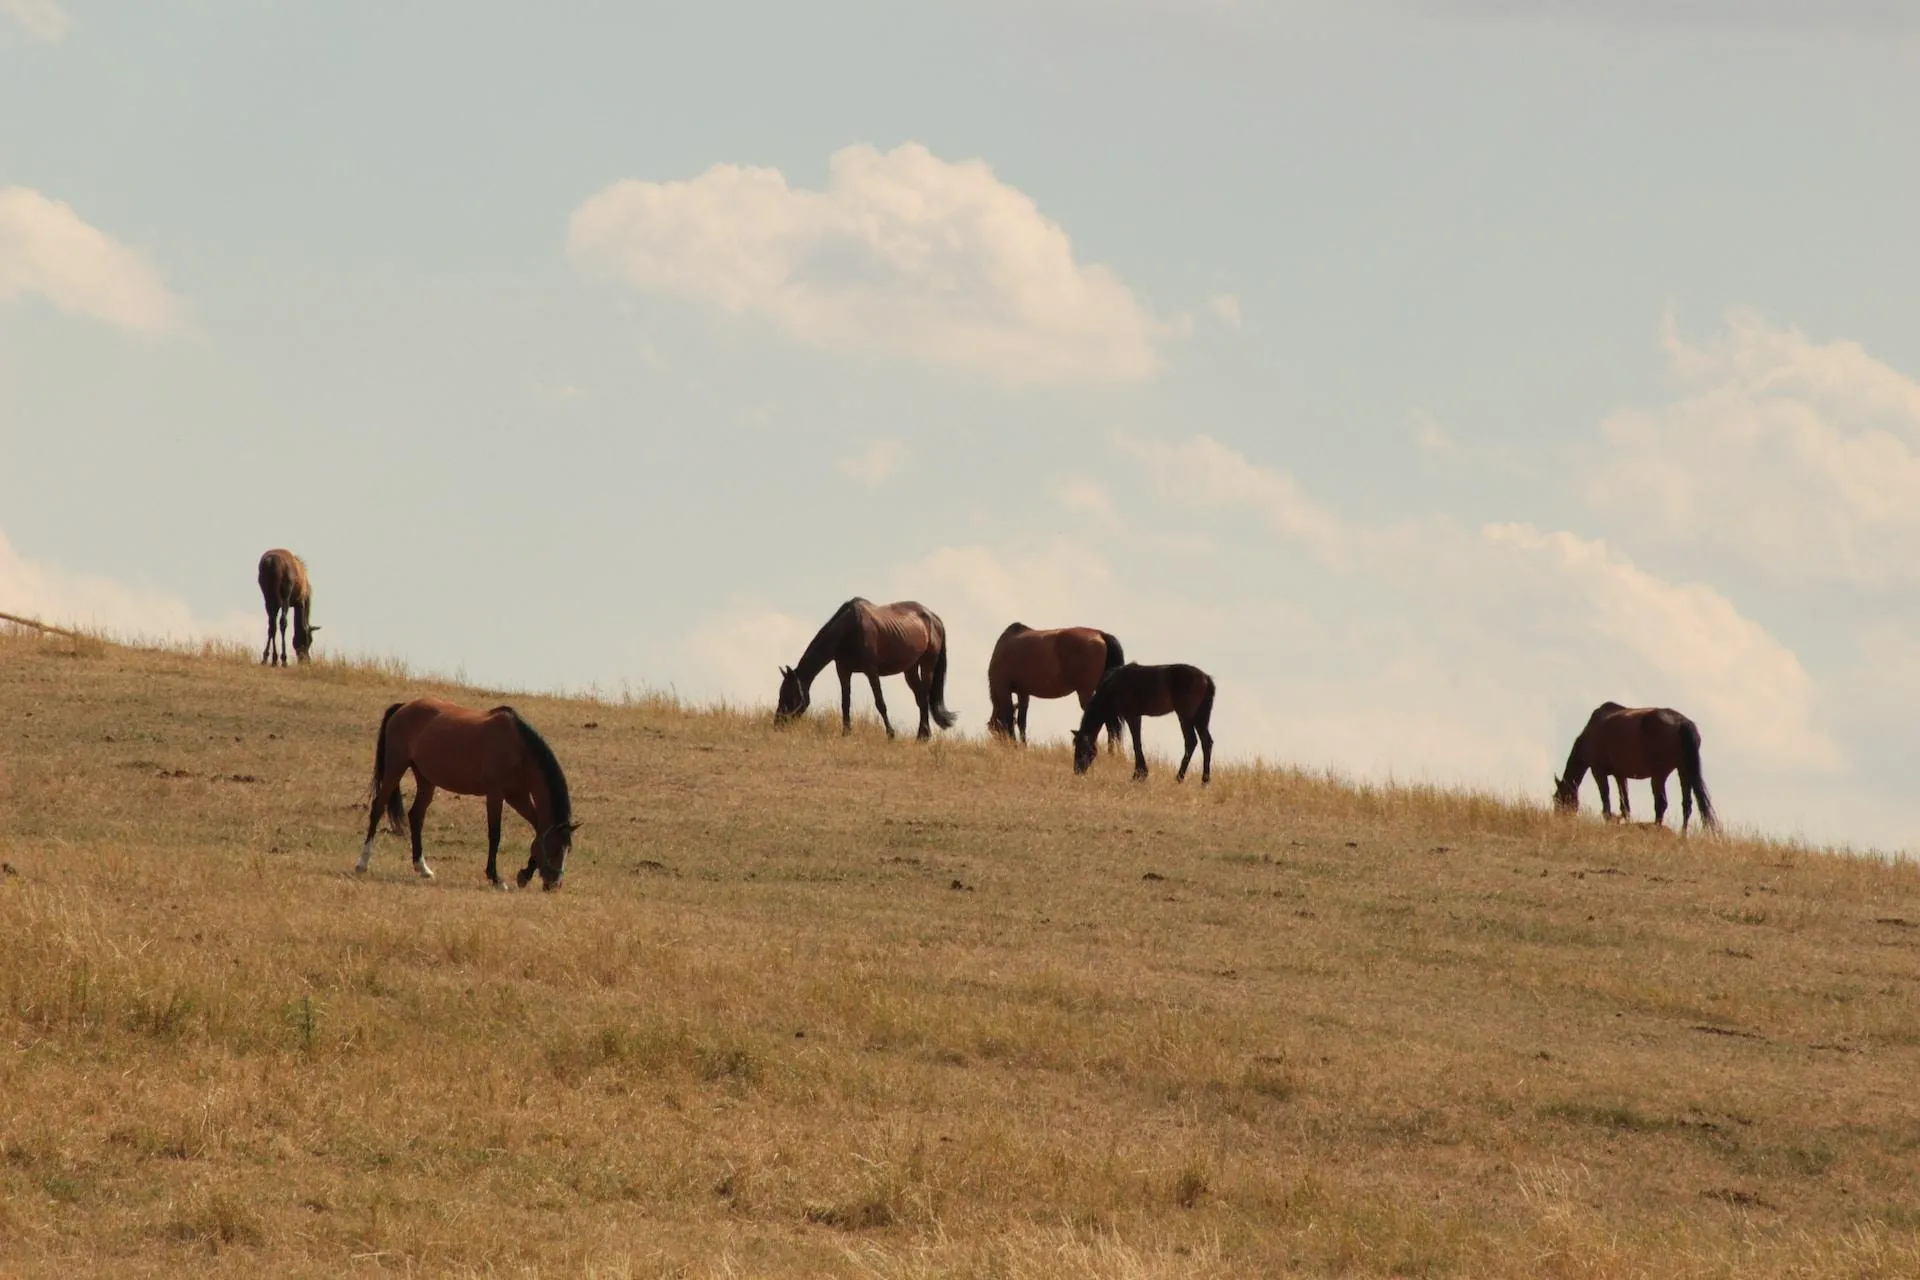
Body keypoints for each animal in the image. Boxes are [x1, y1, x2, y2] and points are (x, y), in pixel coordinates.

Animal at [357, 702, 572, 890]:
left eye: (567, 849)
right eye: (554, 848)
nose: (554, 884)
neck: (517, 748)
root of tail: (403, 706)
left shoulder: (518, 796)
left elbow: (537, 830)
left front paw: (524, 875)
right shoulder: (496, 795)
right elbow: (495, 835)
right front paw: (496, 878)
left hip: (425, 779)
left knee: (416, 815)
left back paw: (422, 868)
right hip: (395, 767)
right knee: (378, 807)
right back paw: (362, 863)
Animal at [775, 602, 956, 740]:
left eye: (790, 695)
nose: (777, 724)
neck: (849, 629)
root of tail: (934, 618)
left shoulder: (871, 671)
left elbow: (880, 703)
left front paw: (890, 734)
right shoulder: (843, 671)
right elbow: (845, 702)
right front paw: (846, 733)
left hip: (927, 665)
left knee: (924, 697)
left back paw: (923, 736)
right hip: (910, 669)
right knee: (920, 698)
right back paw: (922, 735)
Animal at [990, 621, 1121, 752]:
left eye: (994, 728)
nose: (998, 744)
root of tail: (1100, 634)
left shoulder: (1003, 688)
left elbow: (1009, 718)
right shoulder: (1023, 692)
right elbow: (1021, 721)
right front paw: (1023, 746)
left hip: (1086, 692)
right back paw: (1113, 752)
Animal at [1067, 667, 1213, 786]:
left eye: (1081, 750)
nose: (1077, 771)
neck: (1114, 686)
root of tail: (1206, 677)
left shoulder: (1132, 716)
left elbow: (1136, 743)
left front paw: (1139, 775)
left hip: (1185, 716)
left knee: (1191, 741)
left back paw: (1179, 778)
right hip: (1200, 718)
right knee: (1206, 742)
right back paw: (1204, 781)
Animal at [1551, 706, 1720, 836]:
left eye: (1557, 799)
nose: (1558, 820)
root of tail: (1682, 723)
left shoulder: (1598, 771)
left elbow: (1606, 801)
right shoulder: (1620, 775)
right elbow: (1625, 805)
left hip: (1659, 776)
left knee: (1661, 804)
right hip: (1683, 771)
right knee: (1687, 804)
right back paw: (1682, 837)